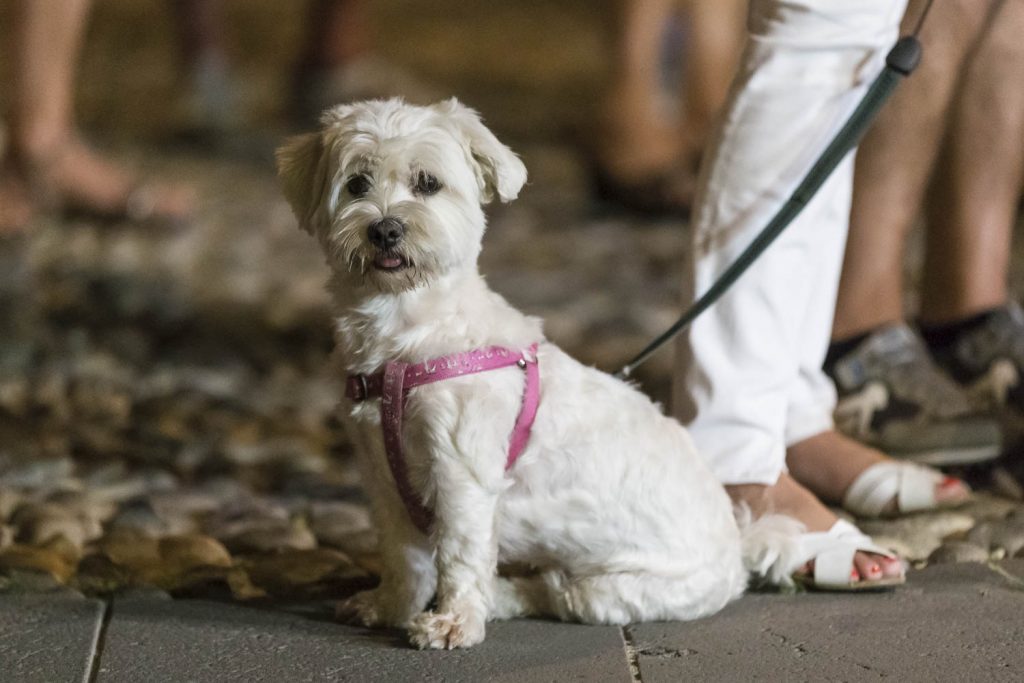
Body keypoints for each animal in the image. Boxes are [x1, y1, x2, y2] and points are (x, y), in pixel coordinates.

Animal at [276, 98, 794, 651]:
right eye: (356, 184)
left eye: (428, 183)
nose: (386, 229)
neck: (408, 332)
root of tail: (738, 546)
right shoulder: (381, 472)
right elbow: (402, 554)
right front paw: (391, 605)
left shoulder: (461, 472)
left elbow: (459, 554)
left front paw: (453, 621)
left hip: (611, 589)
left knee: (548, 591)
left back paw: (498, 598)